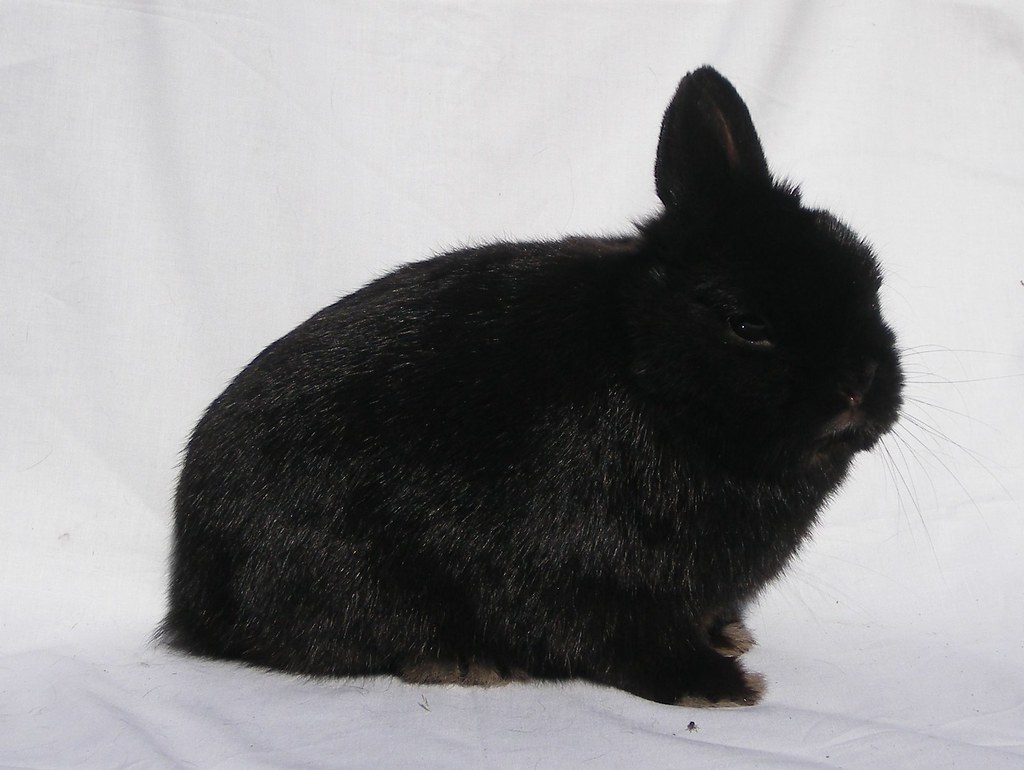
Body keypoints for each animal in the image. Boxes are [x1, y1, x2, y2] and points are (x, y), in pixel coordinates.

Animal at [163, 66, 903, 707]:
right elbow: (620, 637)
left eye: (868, 279)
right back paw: (462, 662)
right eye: (747, 323)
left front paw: (726, 638)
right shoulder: (583, 571)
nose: (860, 384)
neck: (650, 381)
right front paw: (717, 686)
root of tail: (189, 591)